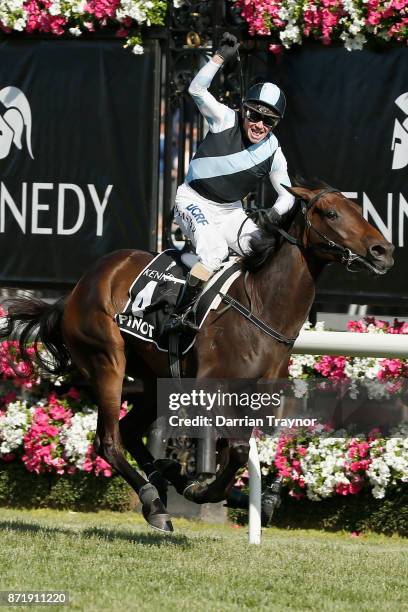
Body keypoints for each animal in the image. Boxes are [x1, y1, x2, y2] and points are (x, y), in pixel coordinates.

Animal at [0, 178, 396, 532]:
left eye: (358, 209)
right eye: (331, 213)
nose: (383, 251)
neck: (263, 308)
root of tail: (77, 288)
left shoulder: (267, 394)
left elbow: (262, 444)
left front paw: (253, 497)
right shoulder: (207, 389)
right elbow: (236, 449)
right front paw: (204, 490)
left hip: (155, 377)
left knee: (129, 430)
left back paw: (167, 474)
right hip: (107, 361)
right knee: (109, 440)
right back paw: (155, 502)